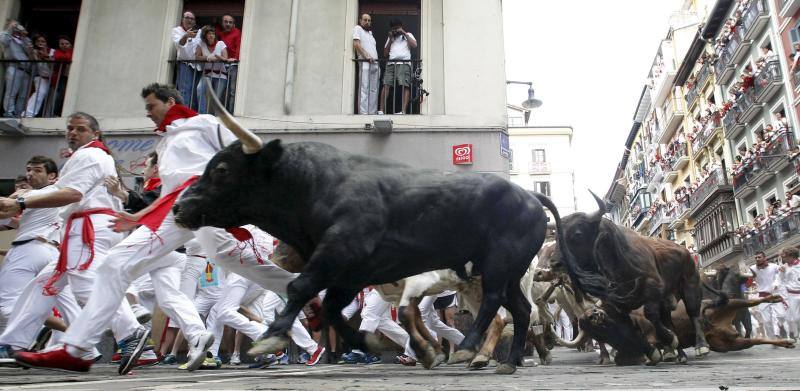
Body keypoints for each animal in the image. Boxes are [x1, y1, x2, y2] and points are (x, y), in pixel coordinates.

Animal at [173, 137, 564, 374]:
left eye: (221, 169)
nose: (179, 207)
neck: (315, 183)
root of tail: (529, 195)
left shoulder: (342, 255)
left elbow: (302, 290)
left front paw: (270, 338)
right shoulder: (352, 275)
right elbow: (332, 312)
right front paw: (382, 345)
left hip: (498, 265)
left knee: (496, 305)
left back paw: (470, 350)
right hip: (507, 273)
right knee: (520, 311)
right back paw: (508, 361)